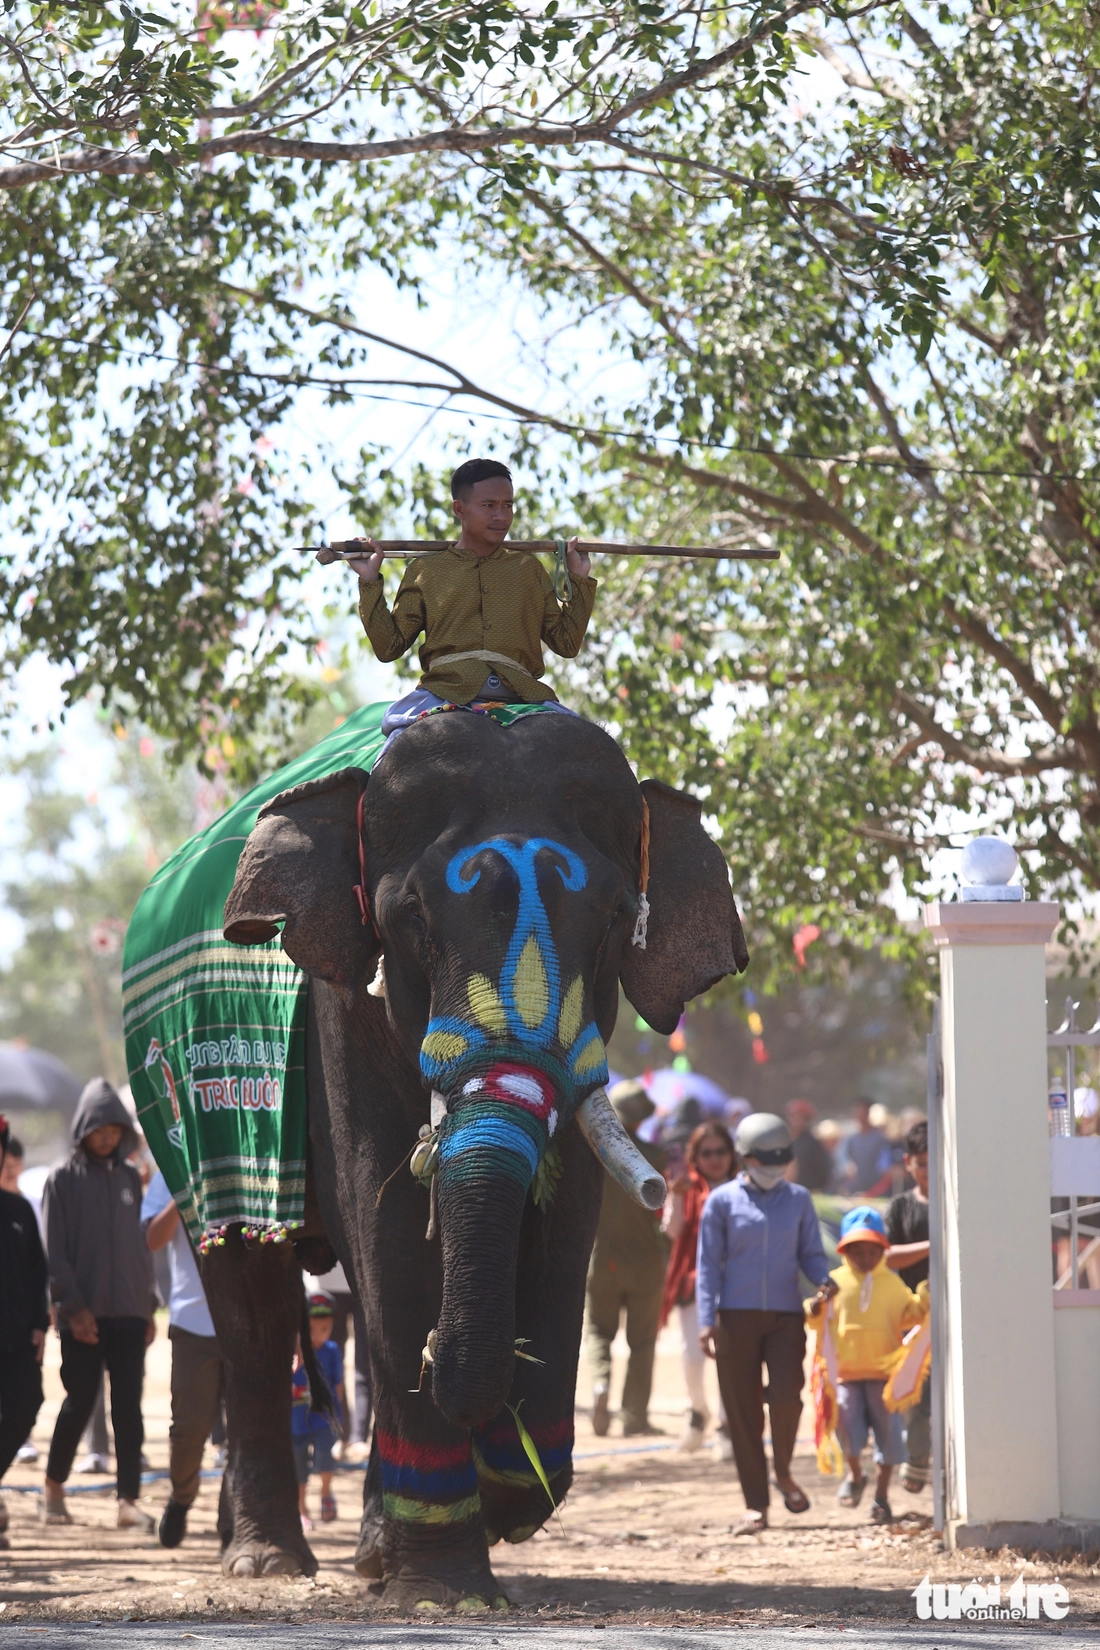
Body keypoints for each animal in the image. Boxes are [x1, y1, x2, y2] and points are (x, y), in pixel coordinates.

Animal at [197, 702, 748, 1603]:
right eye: (413, 918)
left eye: (613, 921)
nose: (665, 1195)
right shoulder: (341, 1008)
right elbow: (386, 1220)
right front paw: (443, 1588)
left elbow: (567, 1231)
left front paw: (504, 1495)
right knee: (252, 1303)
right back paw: (268, 1561)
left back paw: (369, 1550)